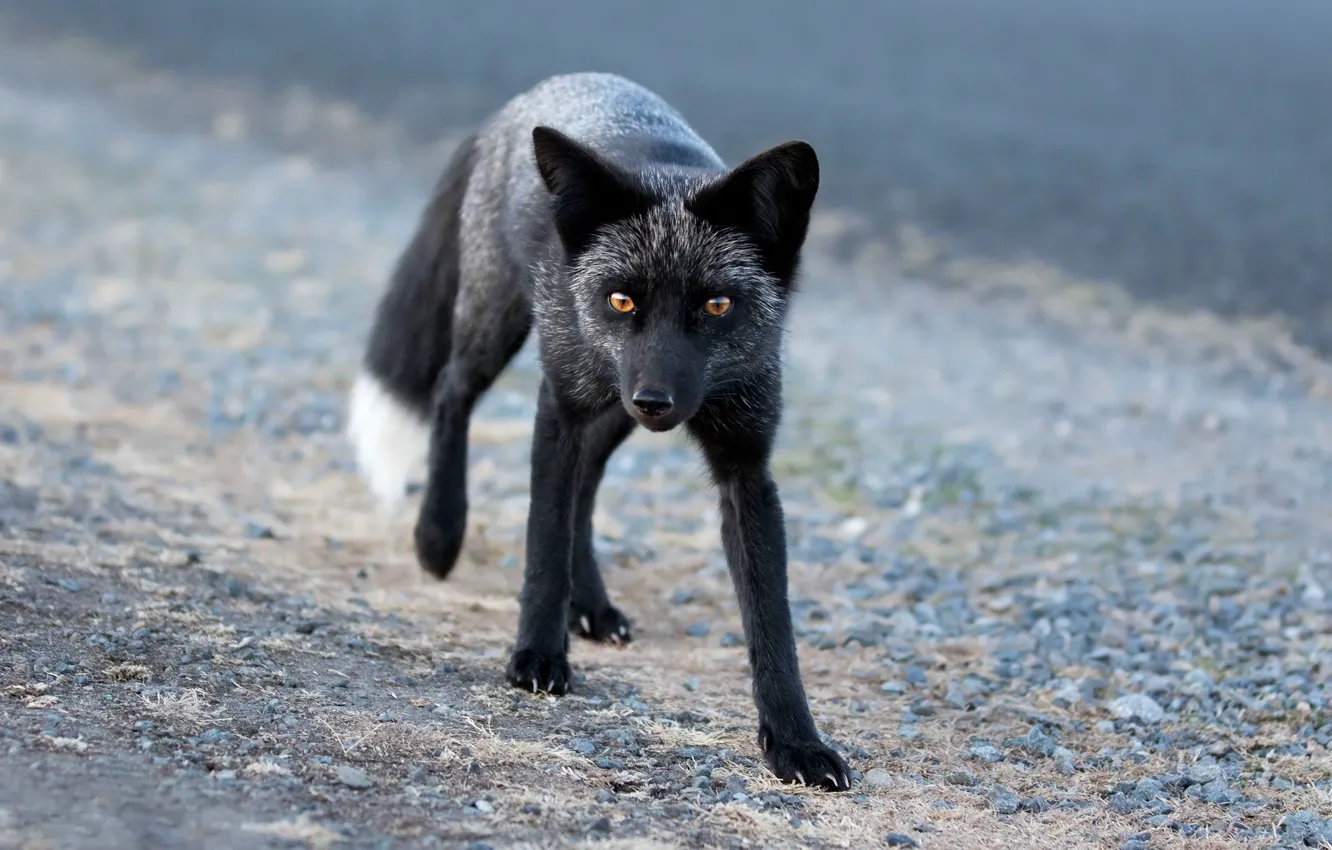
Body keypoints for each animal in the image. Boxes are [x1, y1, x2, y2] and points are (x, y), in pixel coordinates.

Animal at [347, 72, 851, 791]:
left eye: (717, 305)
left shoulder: (746, 463)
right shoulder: (559, 405)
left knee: (586, 482)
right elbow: (543, 539)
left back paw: (590, 605)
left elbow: (770, 618)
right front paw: (537, 654)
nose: (656, 400)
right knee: (451, 391)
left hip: (612, 414)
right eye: (621, 300)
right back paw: (439, 534)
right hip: (509, 332)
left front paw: (795, 741)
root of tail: (534, 94)